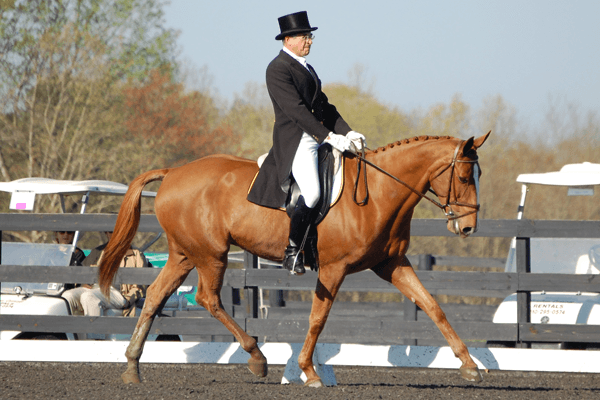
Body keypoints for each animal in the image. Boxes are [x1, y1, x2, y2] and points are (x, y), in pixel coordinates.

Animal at [99, 132, 491, 386]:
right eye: (464, 175)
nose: (469, 226)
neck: (380, 193)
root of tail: (173, 172)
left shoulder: (391, 264)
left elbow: (433, 306)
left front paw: (469, 365)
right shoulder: (334, 268)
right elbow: (318, 318)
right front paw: (309, 371)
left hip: (184, 254)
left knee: (155, 296)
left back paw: (132, 367)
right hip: (211, 254)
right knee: (208, 298)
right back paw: (257, 358)